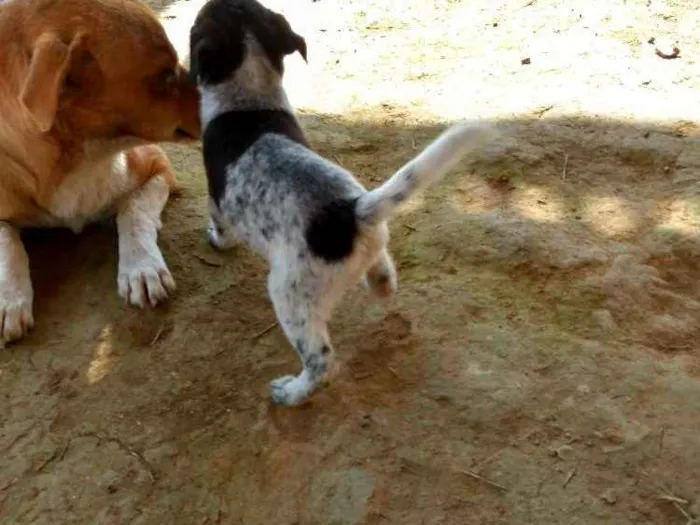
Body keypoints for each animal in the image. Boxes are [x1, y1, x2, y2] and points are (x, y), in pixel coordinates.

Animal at [0, 0, 201, 344]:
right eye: (164, 76)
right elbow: (7, 246)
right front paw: (9, 299)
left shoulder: (158, 166)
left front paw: (141, 266)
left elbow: (133, 211)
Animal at [191, 0, 498, 406]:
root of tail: (351, 211)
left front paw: (215, 240)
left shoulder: (216, 195)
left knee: (321, 361)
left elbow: (220, 225)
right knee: (384, 272)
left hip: (290, 295)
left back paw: (291, 392)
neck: (248, 95)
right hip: (369, 250)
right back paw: (380, 285)